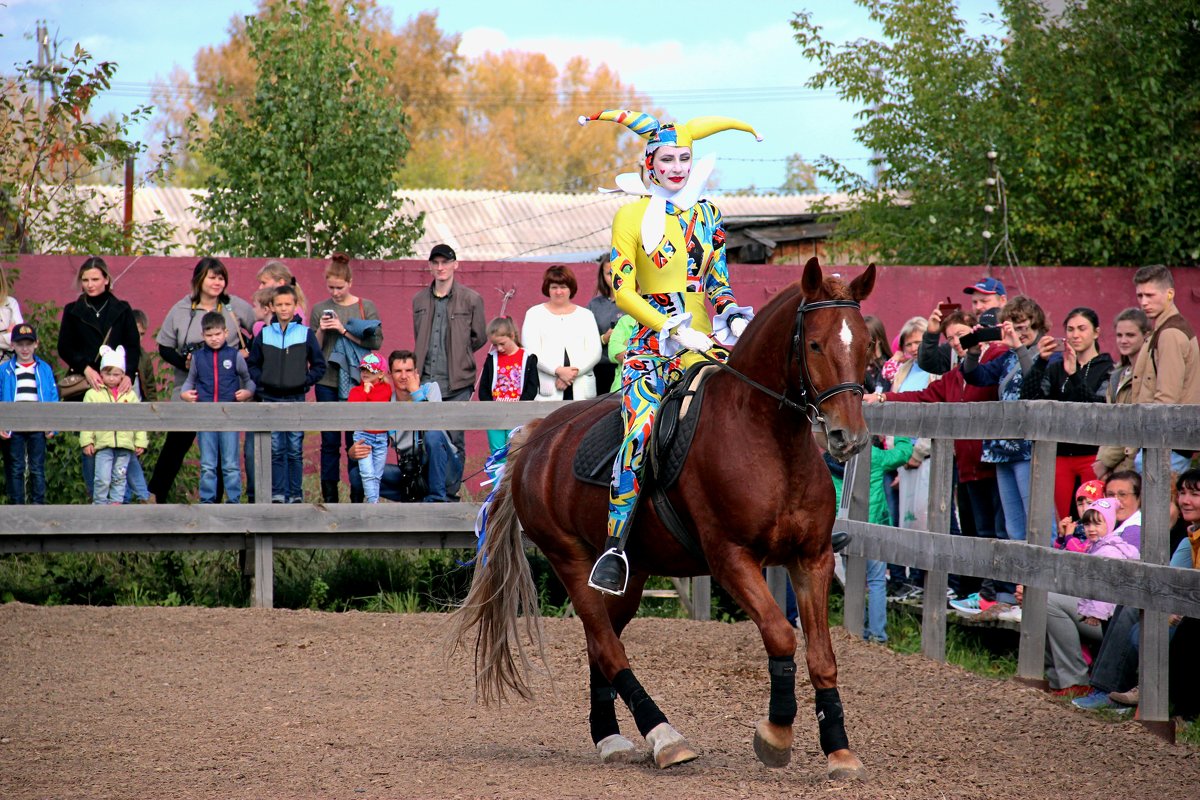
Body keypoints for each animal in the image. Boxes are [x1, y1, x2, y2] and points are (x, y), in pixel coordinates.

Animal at [448, 260, 873, 777]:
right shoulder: (732, 558)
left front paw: (839, 749)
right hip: (569, 558)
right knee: (606, 645)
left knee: (601, 643)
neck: (768, 438)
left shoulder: (812, 559)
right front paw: (775, 733)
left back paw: (610, 737)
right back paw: (665, 736)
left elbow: (823, 656)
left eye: (866, 344)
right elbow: (778, 634)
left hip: (630, 575)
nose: (848, 437)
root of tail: (536, 436)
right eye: (814, 344)